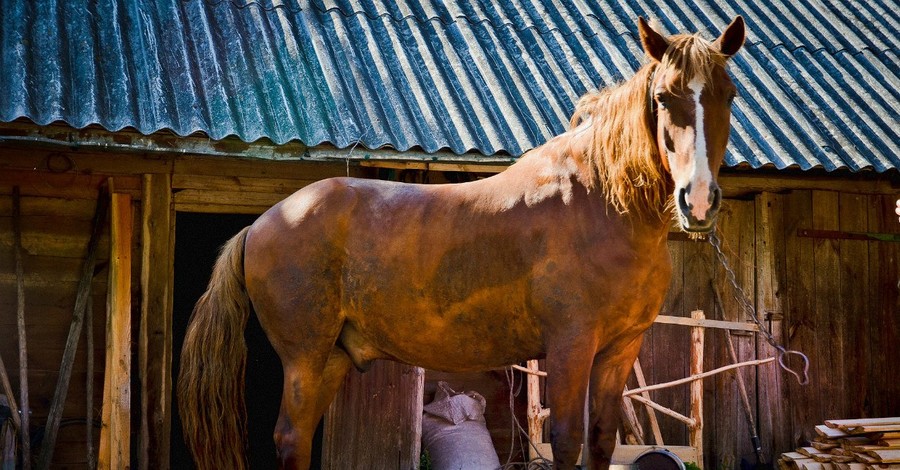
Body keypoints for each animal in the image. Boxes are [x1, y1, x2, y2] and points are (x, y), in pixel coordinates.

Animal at [176, 16, 744, 468]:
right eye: (663, 97)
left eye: (728, 94)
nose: (697, 200)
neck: (602, 200)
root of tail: (262, 223)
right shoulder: (570, 347)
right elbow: (567, 441)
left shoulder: (621, 349)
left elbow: (602, 441)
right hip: (305, 359)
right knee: (292, 439)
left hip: (332, 357)